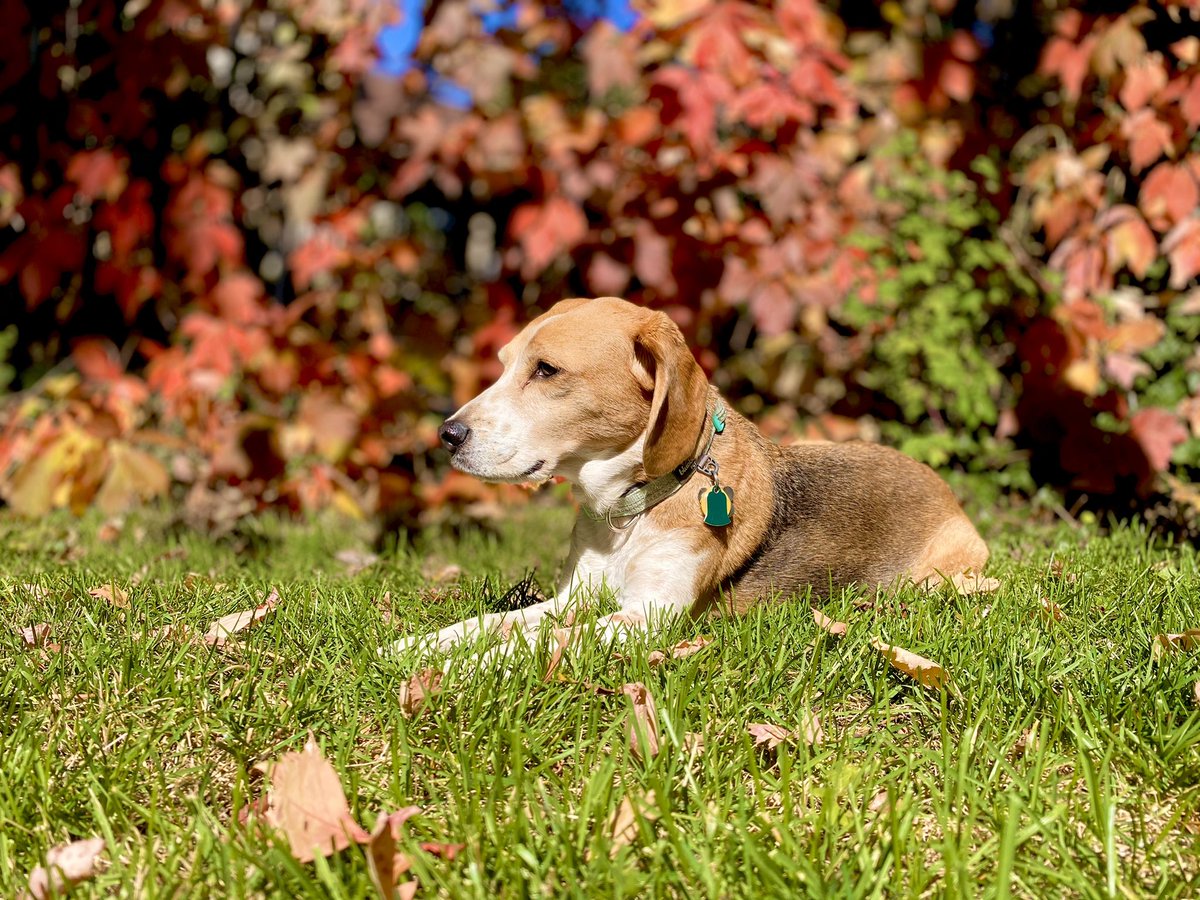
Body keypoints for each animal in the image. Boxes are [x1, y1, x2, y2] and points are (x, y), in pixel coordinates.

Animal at [388, 300, 988, 657]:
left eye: (547, 370)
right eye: (503, 363)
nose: (446, 434)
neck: (627, 513)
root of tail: (942, 487)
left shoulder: (647, 616)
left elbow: (535, 644)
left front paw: (467, 669)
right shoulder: (571, 598)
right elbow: (495, 623)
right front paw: (421, 646)